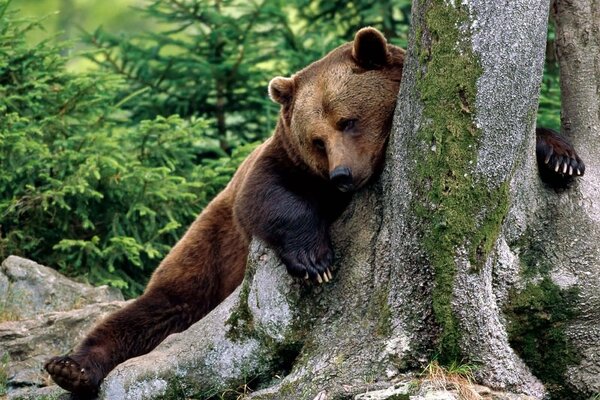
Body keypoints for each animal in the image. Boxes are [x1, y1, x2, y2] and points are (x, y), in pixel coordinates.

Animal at [44, 26, 584, 396]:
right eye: (317, 139)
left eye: (349, 120)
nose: (342, 175)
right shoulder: (279, 164)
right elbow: (268, 195)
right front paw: (315, 260)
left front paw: (560, 157)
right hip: (206, 255)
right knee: (154, 311)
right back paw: (71, 366)